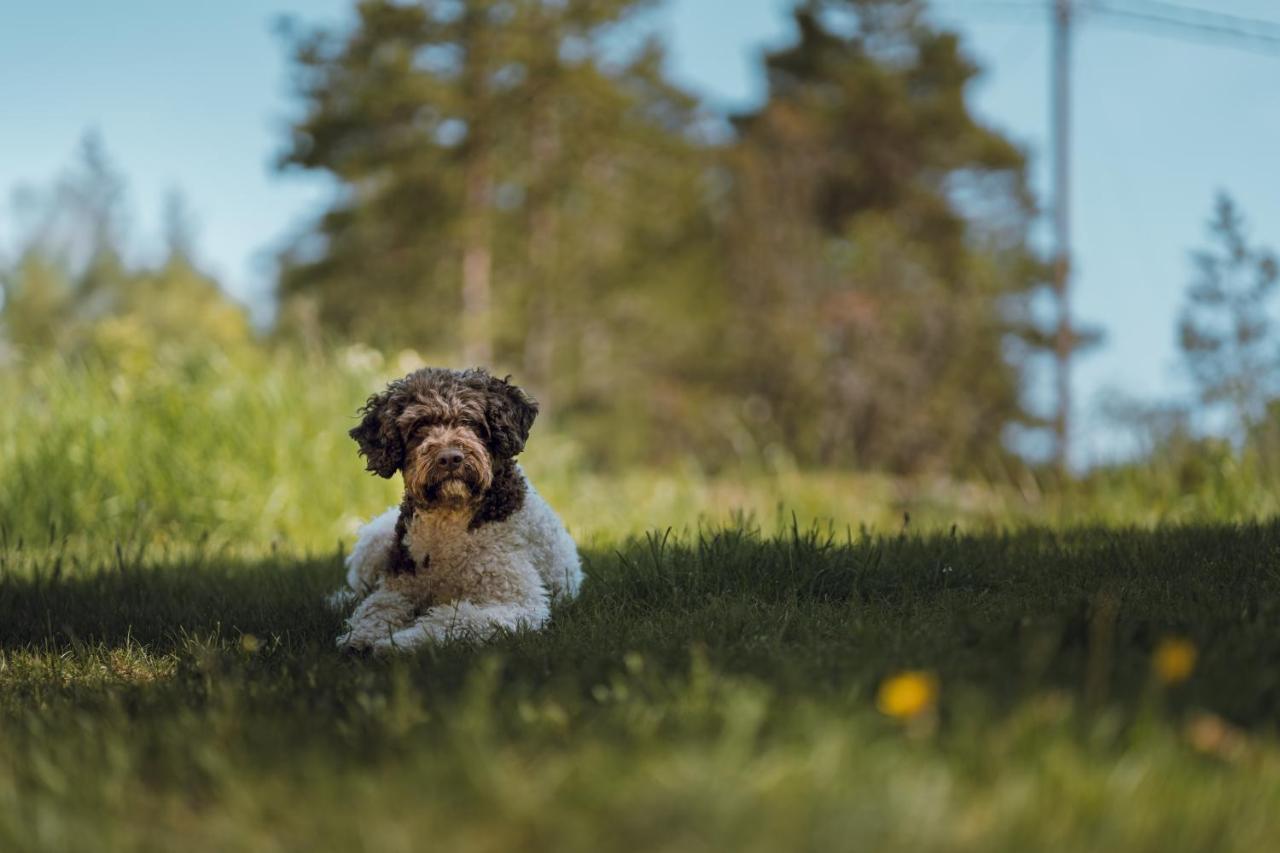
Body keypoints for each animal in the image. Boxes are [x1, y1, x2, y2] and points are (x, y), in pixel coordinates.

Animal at [330, 366, 581, 650]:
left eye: (470, 421)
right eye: (419, 426)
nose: (450, 458)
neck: (449, 519)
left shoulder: (517, 605)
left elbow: (448, 621)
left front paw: (397, 643)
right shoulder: (399, 586)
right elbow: (376, 608)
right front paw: (359, 636)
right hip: (374, 542)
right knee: (360, 591)